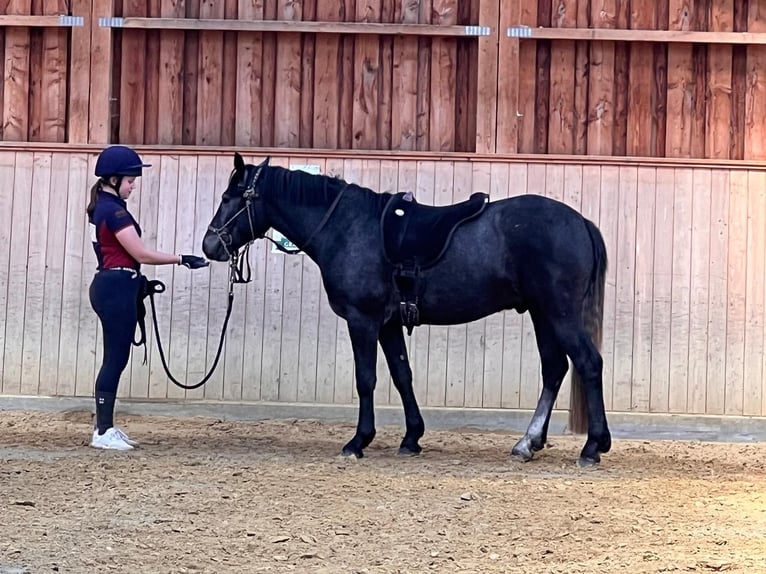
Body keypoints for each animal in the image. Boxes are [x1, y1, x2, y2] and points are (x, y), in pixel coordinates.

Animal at [202, 154, 610, 467]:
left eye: (229, 197)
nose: (210, 245)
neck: (347, 227)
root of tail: (580, 222)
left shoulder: (363, 321)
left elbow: (366, 379)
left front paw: (358, 441)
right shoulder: (388, 324)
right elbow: (402, 375)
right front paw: (412, 438)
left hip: (559, 313)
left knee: (588, 363)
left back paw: (593, 446)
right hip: (543, 314)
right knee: (554, 370)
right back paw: (528, 443)